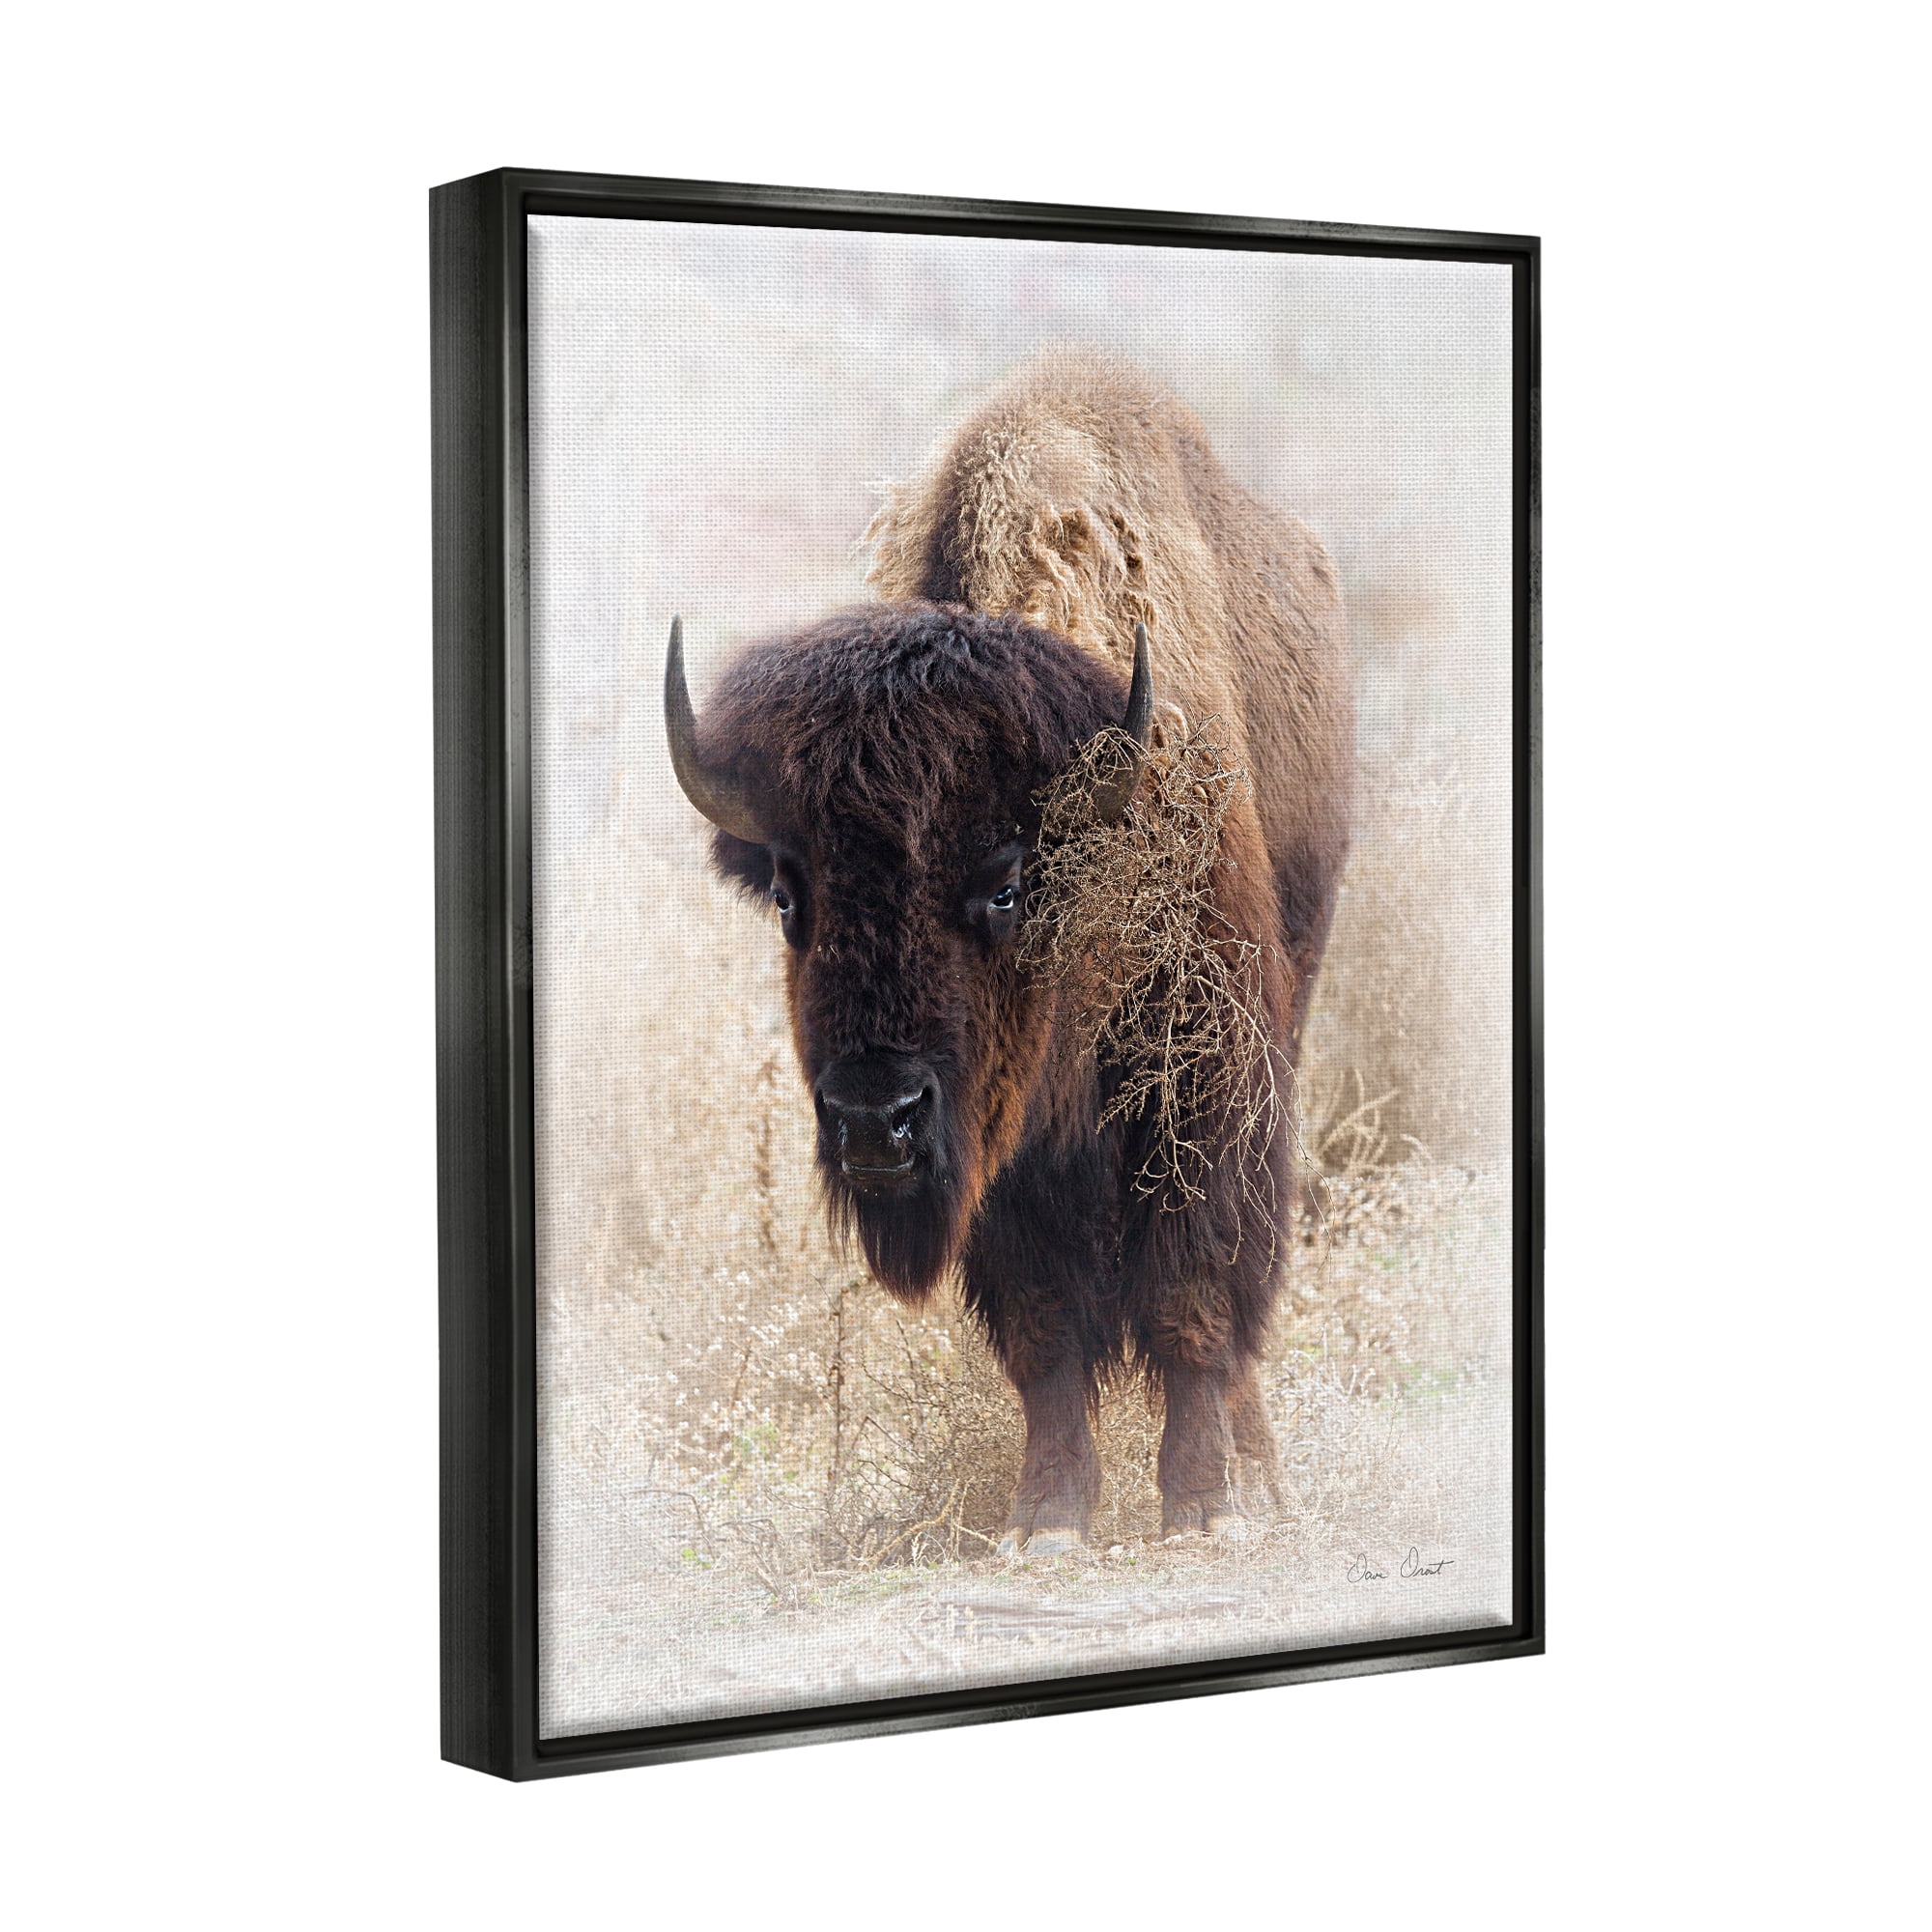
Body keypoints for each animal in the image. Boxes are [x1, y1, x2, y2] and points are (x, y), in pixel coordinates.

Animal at [664, 351, 1353, 1554]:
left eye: (1002, 882)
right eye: (791, 896)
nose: (873, 1119)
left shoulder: (1205, 1091)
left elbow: (1192, 1294)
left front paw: (1199, 1504)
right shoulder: (1003, 1163)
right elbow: (1043, 1332)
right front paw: (1047, 1513)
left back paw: (1260, 1476)